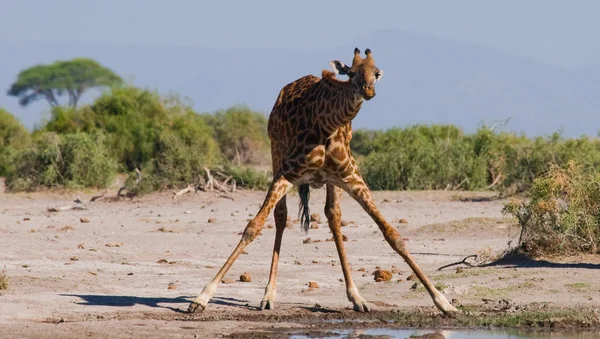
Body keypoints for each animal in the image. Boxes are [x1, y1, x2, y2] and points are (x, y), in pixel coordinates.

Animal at [190, 47, 458, 316]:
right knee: (281, 215)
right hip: (276, 152)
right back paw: (268, 295)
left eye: (376, 73)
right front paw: (201, 297)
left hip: (332, 181)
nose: (368, 91)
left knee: (333, 216)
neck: (329, 124)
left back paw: (357, 297)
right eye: (351, 72)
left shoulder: (352, 178)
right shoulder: (287, 173)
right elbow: (252, 227)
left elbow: (393, 235)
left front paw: (444, 302)